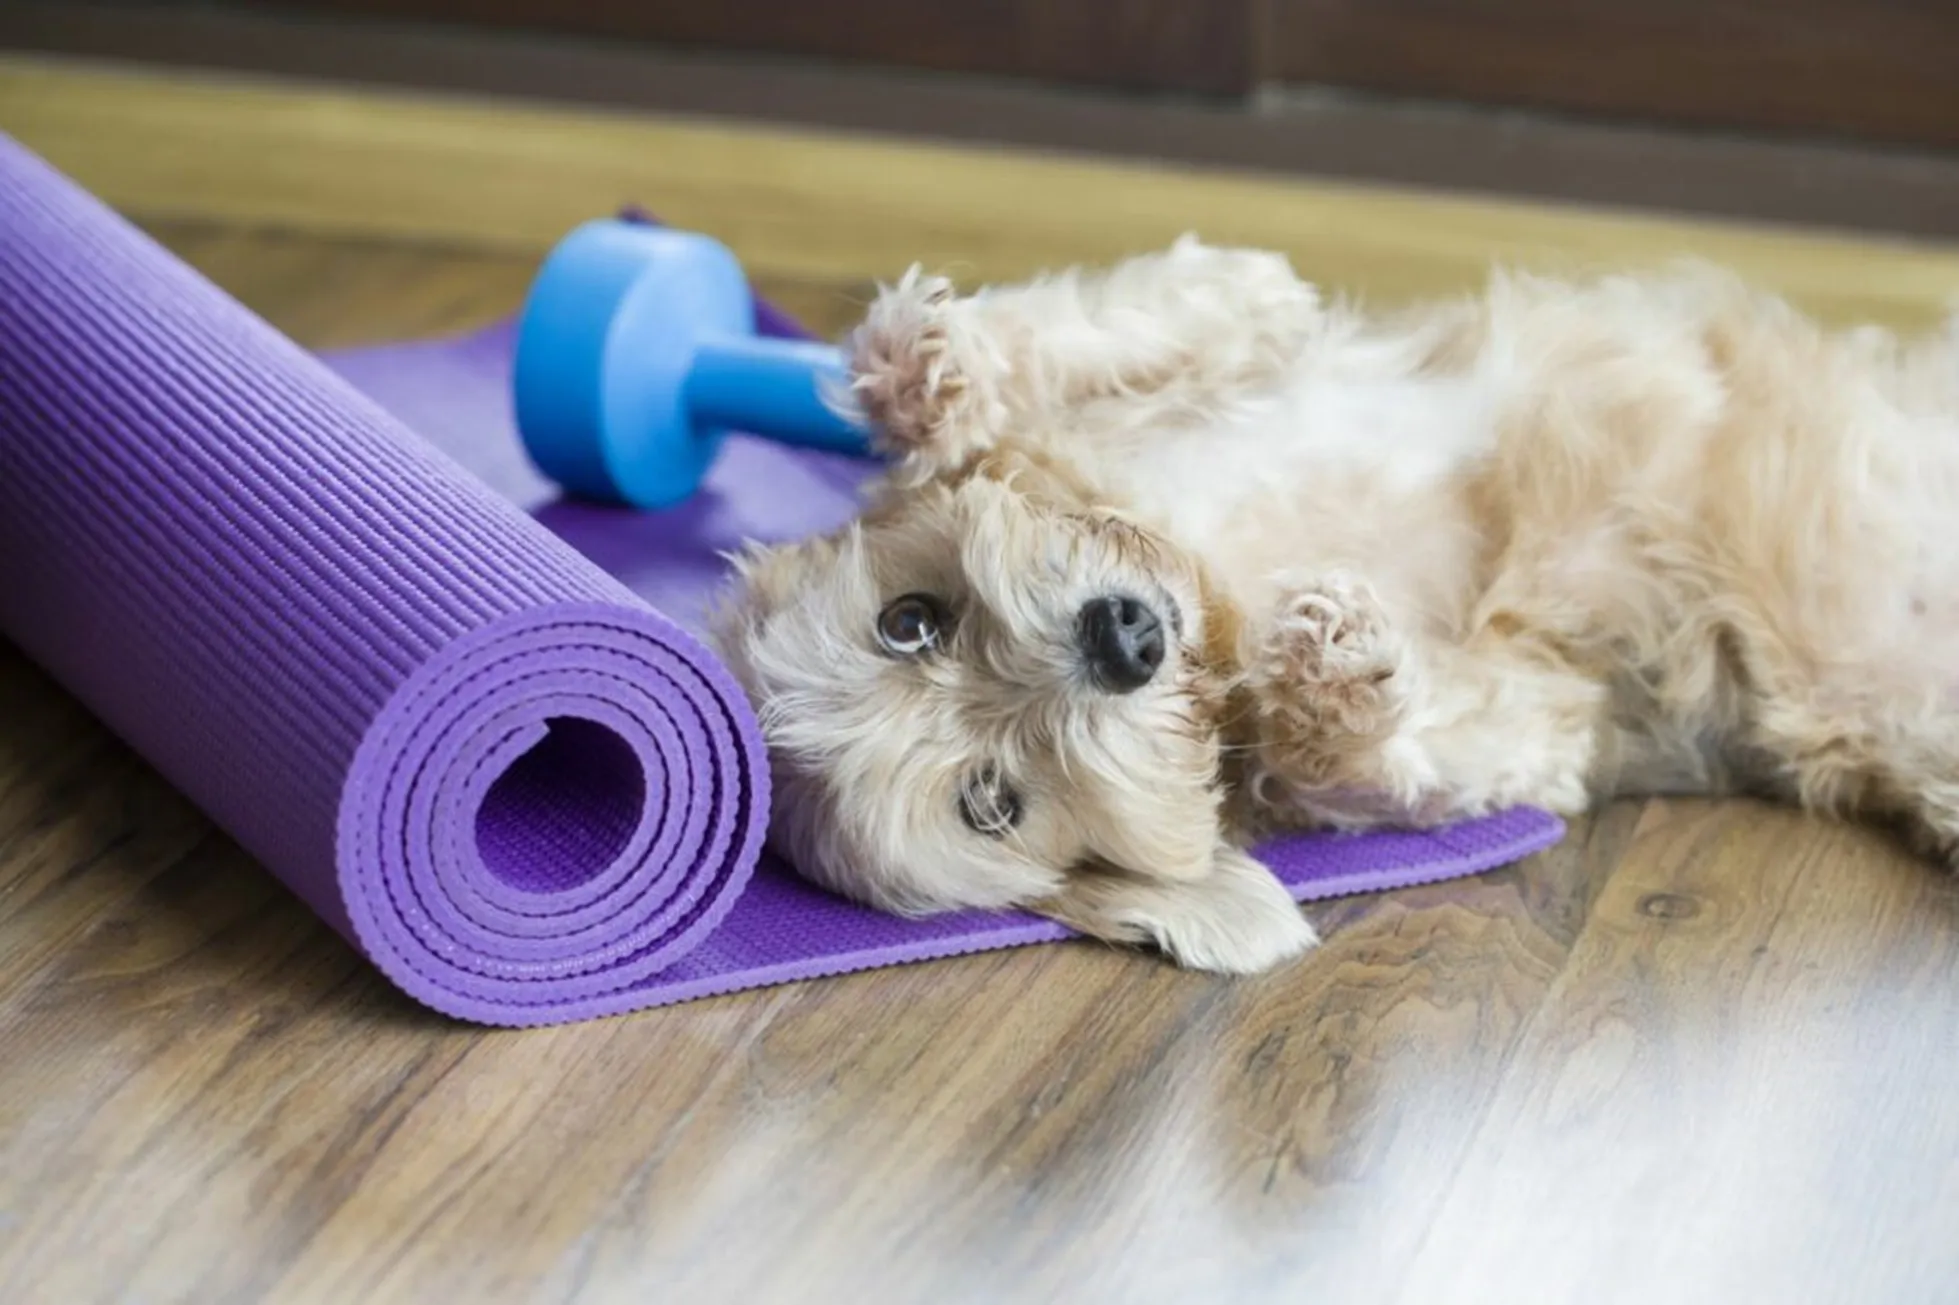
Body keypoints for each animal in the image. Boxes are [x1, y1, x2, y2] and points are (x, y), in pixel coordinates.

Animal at [713, 234, 1959, 971]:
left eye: (910, 621)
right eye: (991, 802)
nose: (1122, 638)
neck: (1214, 586)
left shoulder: (1217, 354)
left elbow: (1175, 309)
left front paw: (924, 370)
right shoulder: (1537, 711)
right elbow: (1399, 752)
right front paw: (1328, 679)